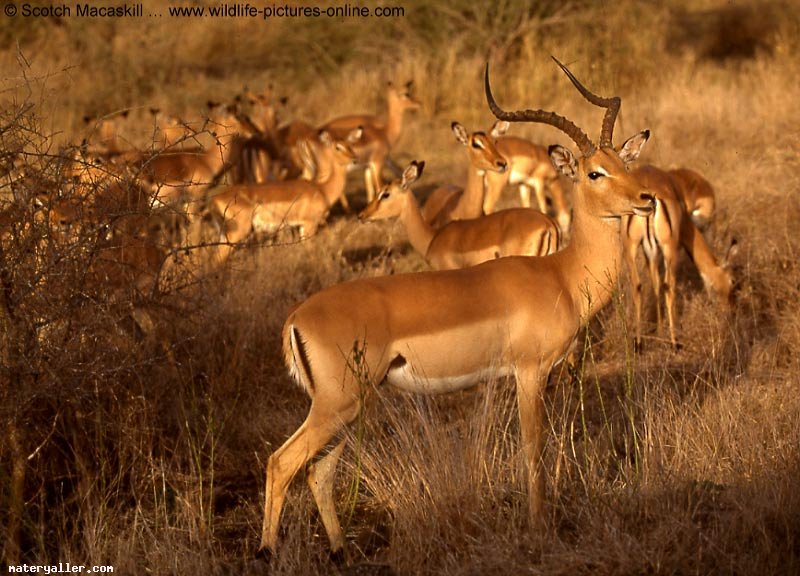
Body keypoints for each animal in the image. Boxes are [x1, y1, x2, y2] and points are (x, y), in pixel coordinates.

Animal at [620, 164, 736, 348]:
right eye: (732, 281)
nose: (731, 311)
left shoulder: (649, 249)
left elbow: (655, 283)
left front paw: (660, 329)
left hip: (630, 246)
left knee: (637, 286)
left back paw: (638, 343)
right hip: (670, 246)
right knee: (669, 286)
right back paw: (675, 342)